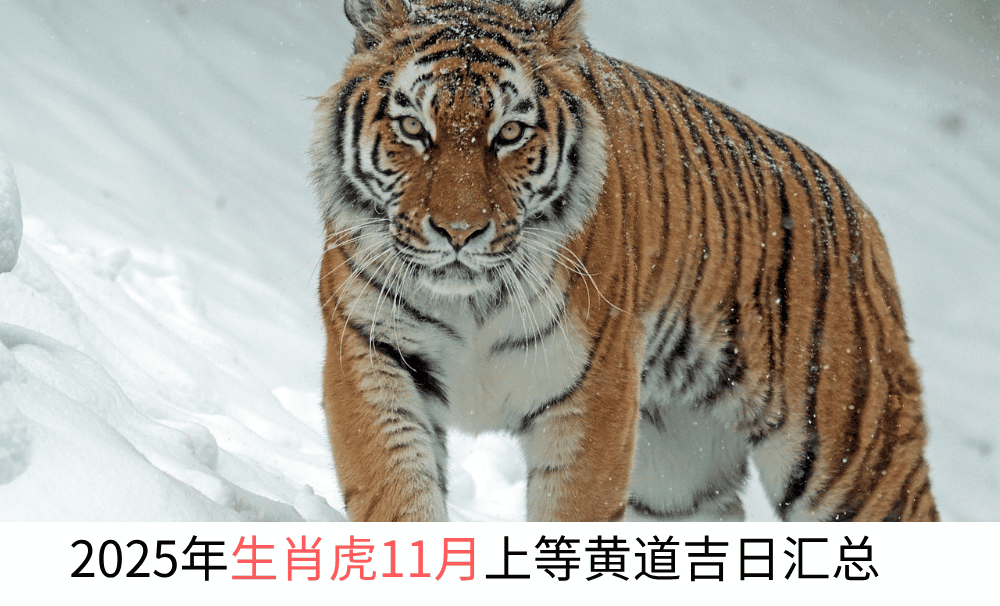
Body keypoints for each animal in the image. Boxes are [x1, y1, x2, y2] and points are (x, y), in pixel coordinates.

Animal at [310, 0, 939, 522]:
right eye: (413, 127)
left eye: (509, 132)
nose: (459, 232)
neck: (473, 302)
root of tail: (856, 208)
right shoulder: (373, 356)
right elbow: (397, 497)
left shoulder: (594, 396)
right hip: (677, 477)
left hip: (853, 459)